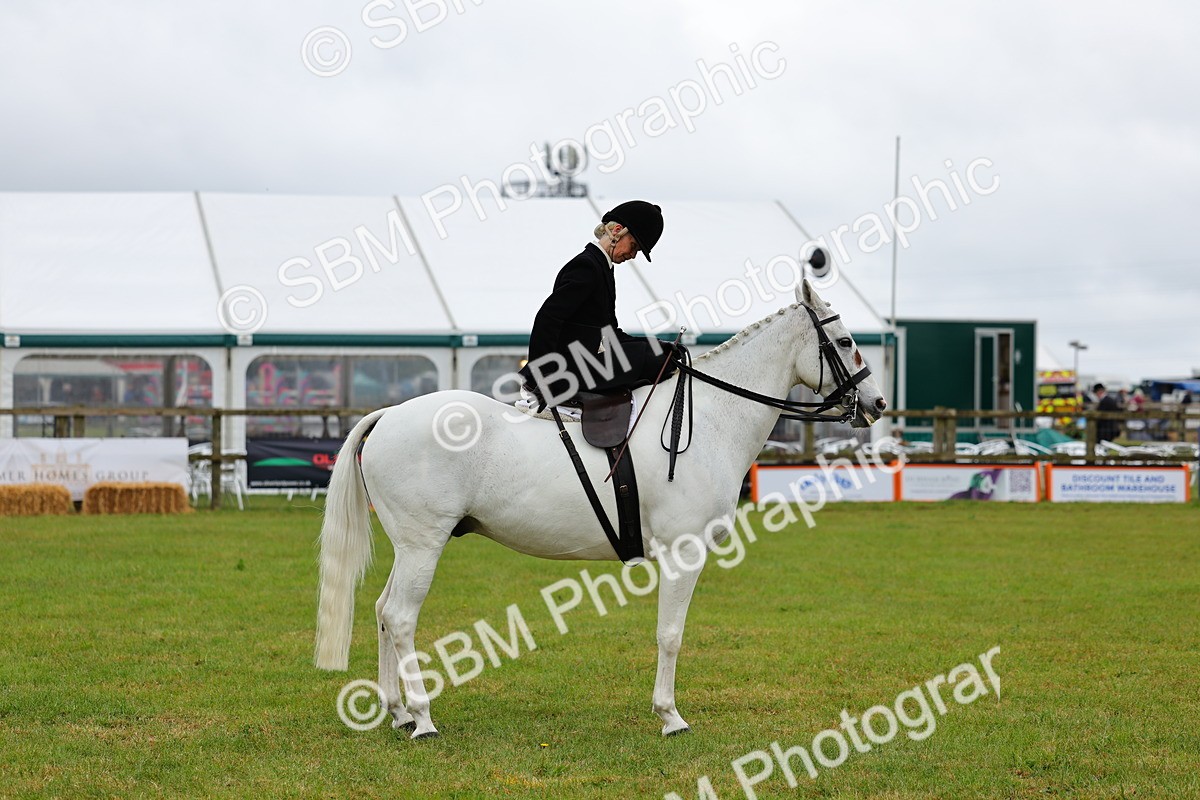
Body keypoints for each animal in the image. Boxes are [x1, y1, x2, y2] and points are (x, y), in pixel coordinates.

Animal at [315, 278, 887, 738]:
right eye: (844, 342)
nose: (877, 404)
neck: (708, 418)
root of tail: (390, 414)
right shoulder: (683, 554)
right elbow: (670, 635)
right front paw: (670, 716)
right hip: (423, 545)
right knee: (400, 617)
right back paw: (423, 719)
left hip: (410, 547)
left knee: (382, 612)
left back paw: (398, 712)